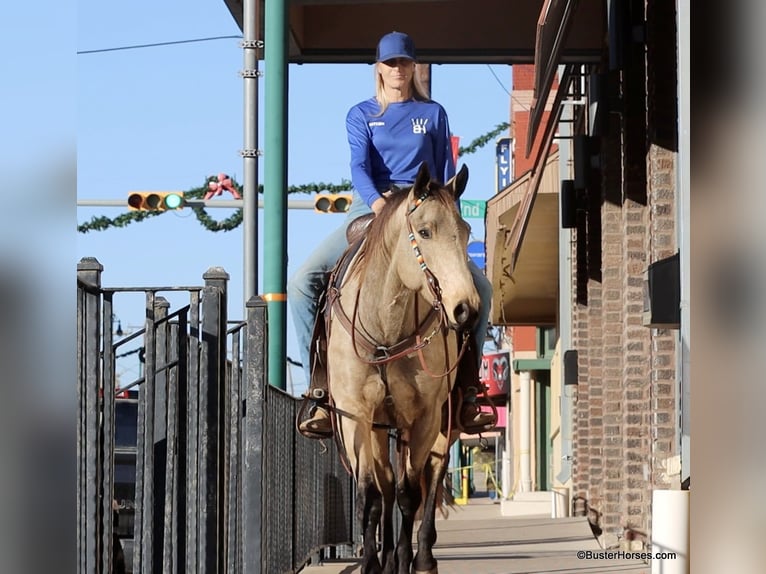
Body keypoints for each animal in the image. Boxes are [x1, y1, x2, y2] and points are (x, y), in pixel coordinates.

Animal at [324, 162, 479, 574]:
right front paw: (372, 562)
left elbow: (411, 493)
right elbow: (372, 495)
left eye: (466, 232)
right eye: (424, 231)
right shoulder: (356, 416)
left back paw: (422, 556)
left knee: (430, 477)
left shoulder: (424, 418)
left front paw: (408, 559)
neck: (386, 330)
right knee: (386, 485)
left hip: (442, 422)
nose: (466, 309)